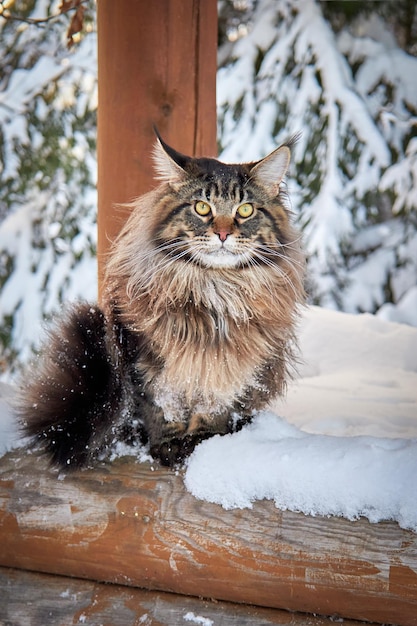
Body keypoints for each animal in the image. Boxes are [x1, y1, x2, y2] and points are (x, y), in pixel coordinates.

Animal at [17, 129, 304, 466]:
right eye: (202, 208)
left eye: (245, 210)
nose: (222, 234)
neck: (215, 287)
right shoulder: (147, 358)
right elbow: (161, 407)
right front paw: (168, 446)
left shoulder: (230, 366)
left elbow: (214, 408)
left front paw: (203, 442)